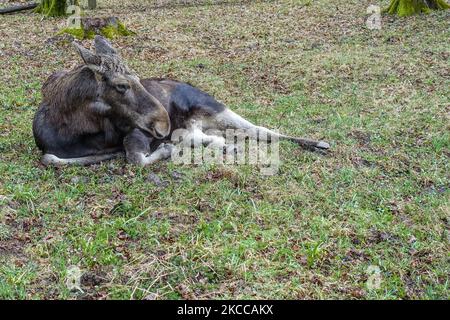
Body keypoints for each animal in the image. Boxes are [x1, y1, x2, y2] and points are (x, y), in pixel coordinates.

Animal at [30, 36, 326, 166]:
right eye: (121, 85)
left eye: (137, 77)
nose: (163, 125)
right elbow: (50, 158)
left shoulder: (138, 132)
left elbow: (136, 158)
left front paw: (164, 151)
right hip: (195, 129)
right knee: (216, 138)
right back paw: (227, 147)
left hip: (217, 109)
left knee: (263, 130)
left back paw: (319, 143)